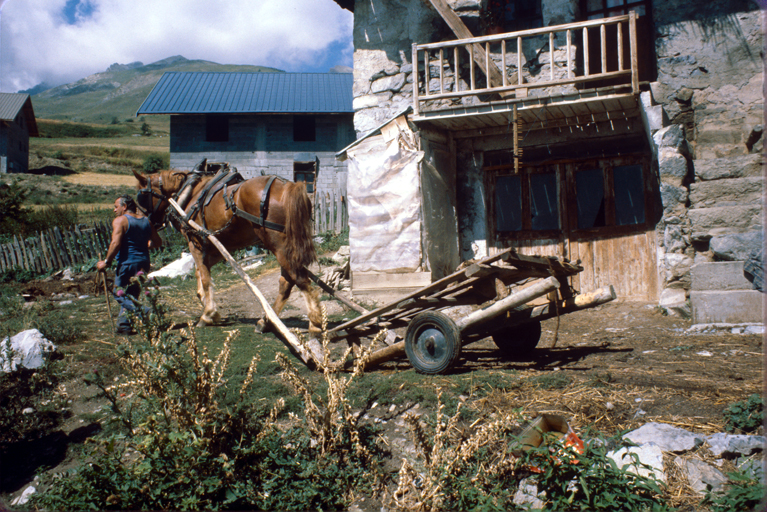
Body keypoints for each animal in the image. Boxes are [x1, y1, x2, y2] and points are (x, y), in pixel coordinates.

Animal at [134, 168, 322, 332]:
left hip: (279, 246)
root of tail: (288, 187)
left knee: (299, 280)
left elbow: (205, 277)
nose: (146, 222)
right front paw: (209, 307)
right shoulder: (216, 246)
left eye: (142, 196)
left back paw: (314, 323)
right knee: (286, 282)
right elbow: (200, 273)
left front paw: (207, 314)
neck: (191, 192)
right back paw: (267, 321)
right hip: (283, 247)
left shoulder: (195, 242)